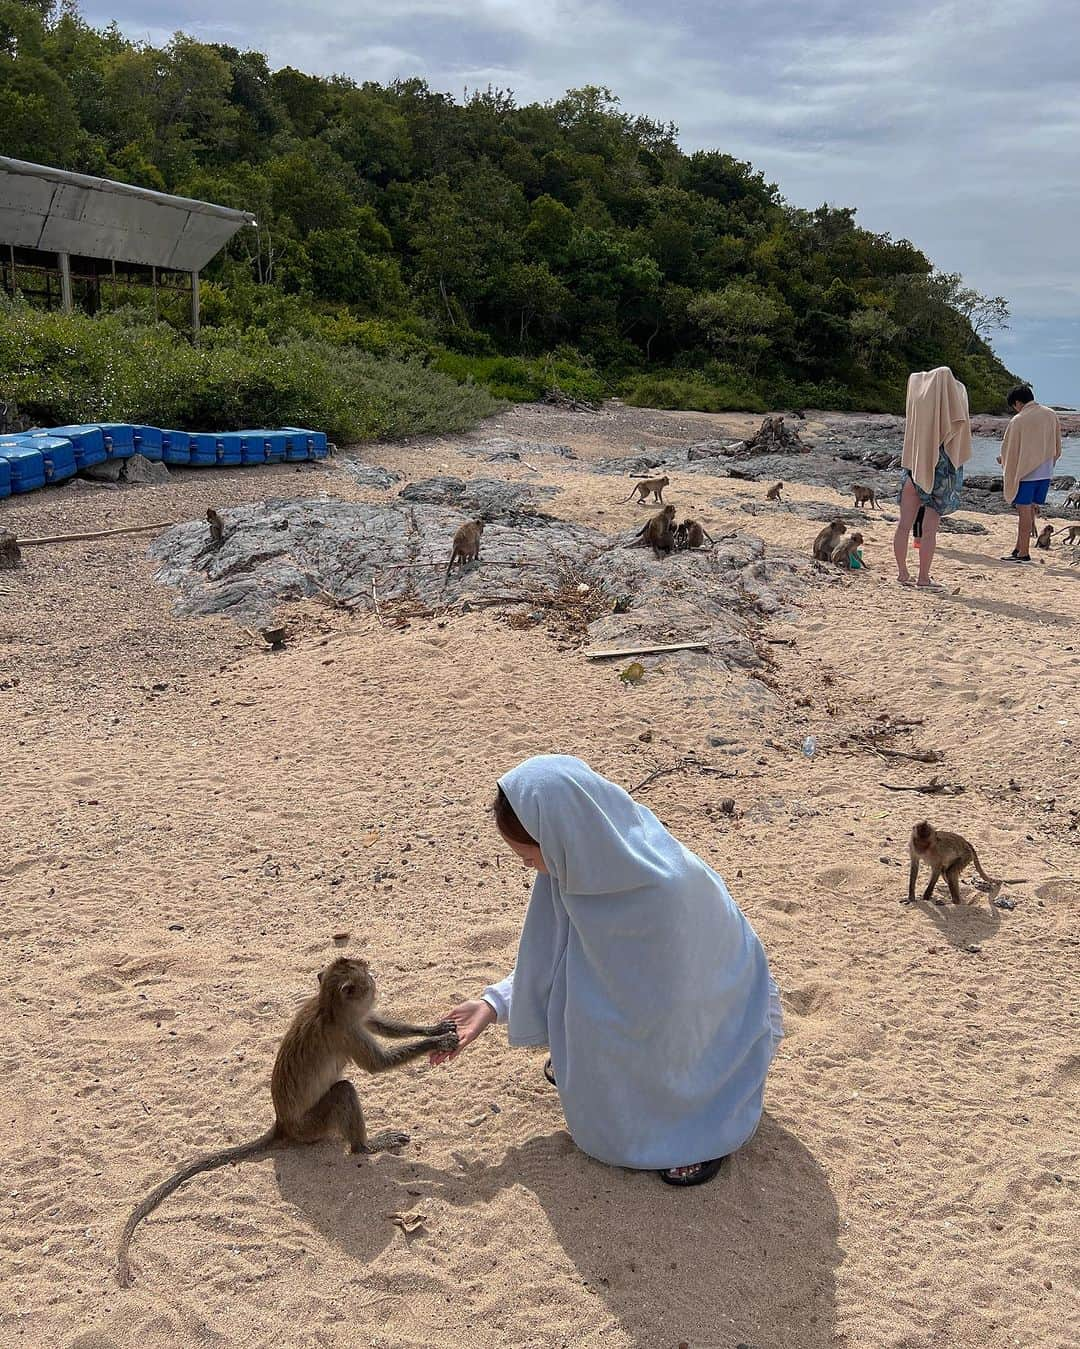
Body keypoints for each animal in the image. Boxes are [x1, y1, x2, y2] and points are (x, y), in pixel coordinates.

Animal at [115, 955, 458, 1278]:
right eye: (367, 976)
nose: (376, 981)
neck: (327, 1007)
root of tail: (282, 1125)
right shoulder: (346, 1032)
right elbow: (378, 1065)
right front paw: (436, 1040)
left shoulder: (355, 1019)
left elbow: (377, 1023)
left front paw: (435, 1029)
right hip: (312, 1126)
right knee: (343, 1091)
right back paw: (366, 1146)